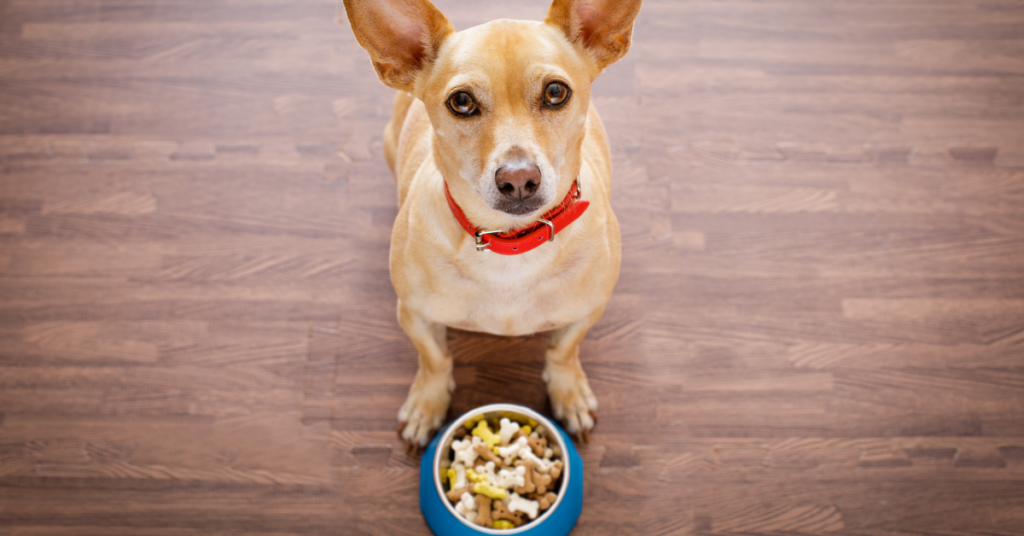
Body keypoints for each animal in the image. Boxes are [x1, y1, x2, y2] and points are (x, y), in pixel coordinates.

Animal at [344, 0, 638, 452]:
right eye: (462, 102)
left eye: (556, 93)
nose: (518, 179)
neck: (510, 244)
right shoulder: (414, 315)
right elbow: (434, 360)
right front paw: (427, 405)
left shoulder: (587, 311)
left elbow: (563, 351)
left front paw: (568, 392)